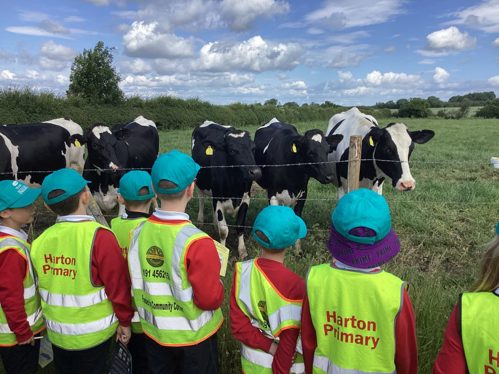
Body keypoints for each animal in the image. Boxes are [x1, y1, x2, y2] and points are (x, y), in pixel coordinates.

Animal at [191, 121, 262, 258]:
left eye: (253, 148)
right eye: (232, 150)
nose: (255, 172)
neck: (235, 187)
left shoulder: (246, 198)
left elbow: (240, 226)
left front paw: (242, 251)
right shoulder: (218, 199)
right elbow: (224, 230)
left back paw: (214, 224)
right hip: (199, 181)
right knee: (201, 199)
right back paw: (200, 221)